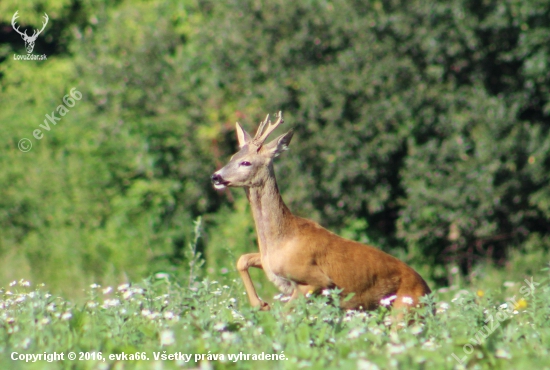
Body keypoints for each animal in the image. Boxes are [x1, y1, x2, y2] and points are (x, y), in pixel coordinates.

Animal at [211, 111, 432, 314]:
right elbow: (242, 259)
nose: (215, 177)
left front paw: (264, 307)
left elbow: (285, 314)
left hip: (404, 310)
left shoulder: (316, 280)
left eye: (246, 162)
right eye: (232, 157)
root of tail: (428, 291)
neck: (281, 240)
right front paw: (260, 303)